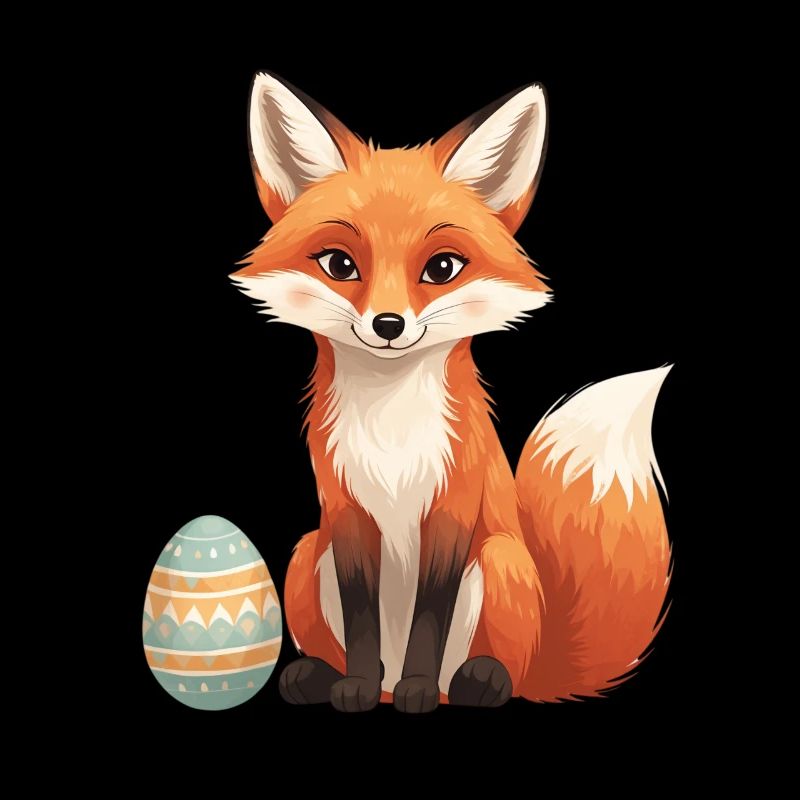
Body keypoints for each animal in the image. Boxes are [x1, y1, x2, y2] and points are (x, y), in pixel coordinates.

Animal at [232, 72, 672, 712]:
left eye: (442, 268)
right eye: (339, 264)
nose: (389, 324)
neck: (391, 427)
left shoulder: (452, 508)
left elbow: (429, 618)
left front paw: (415, 684)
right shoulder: (345, 512)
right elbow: (362, 621)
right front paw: (352, 687)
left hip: (500, 561)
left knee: (487, 671)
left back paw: (469, 683)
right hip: (305, 553)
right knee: (352, 651)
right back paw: (331, 678)